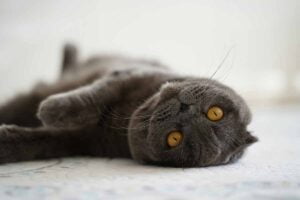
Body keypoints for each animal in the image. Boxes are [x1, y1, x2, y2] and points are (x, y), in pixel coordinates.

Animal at [0, 44, 256, 167]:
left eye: (174, 138)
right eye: (216, 113)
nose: (186, 111)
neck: (127, 113)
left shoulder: (78, 141)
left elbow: (35, 143)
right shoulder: (128, 74)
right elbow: (94, 96)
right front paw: (51, 109)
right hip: (38, 92)